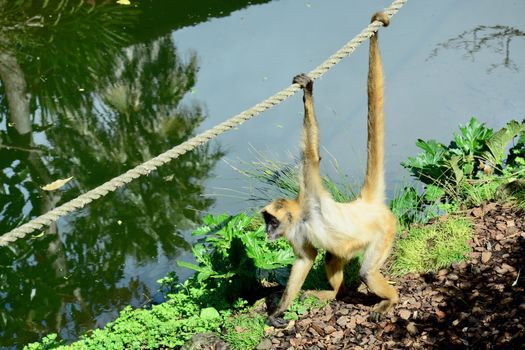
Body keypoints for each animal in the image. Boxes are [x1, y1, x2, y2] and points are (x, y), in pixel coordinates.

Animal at [260, 11, 396, 328]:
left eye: (271, 222)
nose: (267, 231)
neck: (303, 216)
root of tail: (365, 204)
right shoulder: (297, 232)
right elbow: (305, 260)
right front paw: (279, 311)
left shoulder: (310, 188)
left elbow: (311, 154)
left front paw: (308, 92)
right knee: (333, 257)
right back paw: (334, 294)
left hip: (384, 232)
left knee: (366, 272)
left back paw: (391, 299)